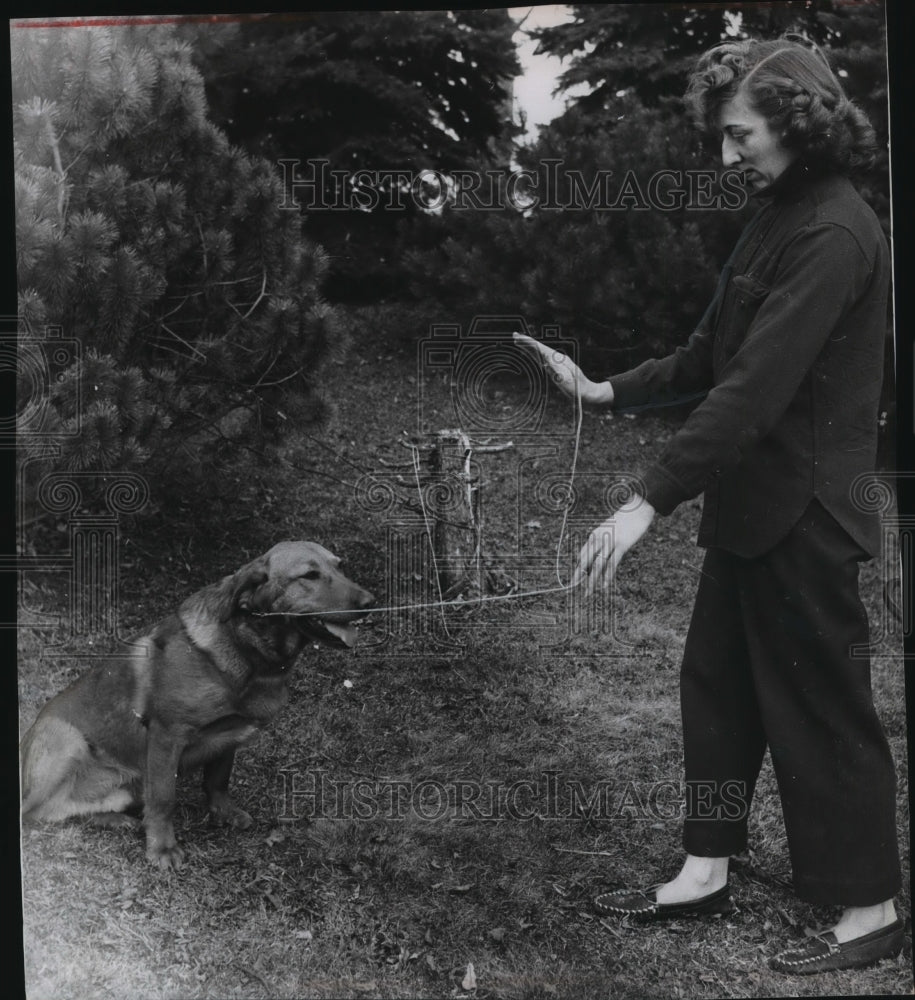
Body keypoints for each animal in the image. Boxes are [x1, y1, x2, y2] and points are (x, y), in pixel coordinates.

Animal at [19, 540, 374, 868]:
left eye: (340, 567)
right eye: (310, 575)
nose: (370, 603)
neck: (249, 653)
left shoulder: (230, 734)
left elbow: (218, 780)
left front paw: (223, 812)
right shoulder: (166, 736)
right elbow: (164, 799)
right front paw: (162, 848)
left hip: (124, 787)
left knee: (67, 809)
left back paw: (114, 819)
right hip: (67, 741)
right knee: (39, 811)